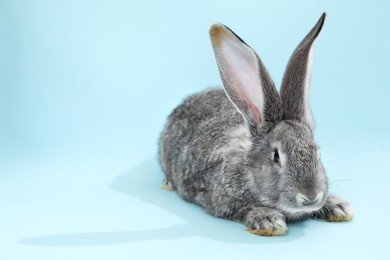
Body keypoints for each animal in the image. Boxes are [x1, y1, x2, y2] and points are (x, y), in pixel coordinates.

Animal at [158, 13, 354, 237]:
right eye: (276, 156)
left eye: (318, 153)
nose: (310, 197)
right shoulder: (222, 200)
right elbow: (245, 209)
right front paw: (268, 221)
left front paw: (338, 207)